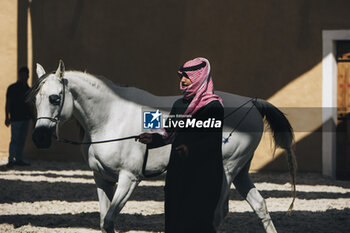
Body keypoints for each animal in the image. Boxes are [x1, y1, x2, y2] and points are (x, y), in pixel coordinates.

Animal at [28, 60, 296, 233]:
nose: (39, 138)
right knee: (260, 206)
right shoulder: (101, 178)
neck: (111, 117)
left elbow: (110, 219)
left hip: (226, 172)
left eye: (55, 98)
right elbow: (105, 221)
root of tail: (251, 103)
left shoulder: (129, 179)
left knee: (217, 215)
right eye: (34, 99)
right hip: (240, 173)